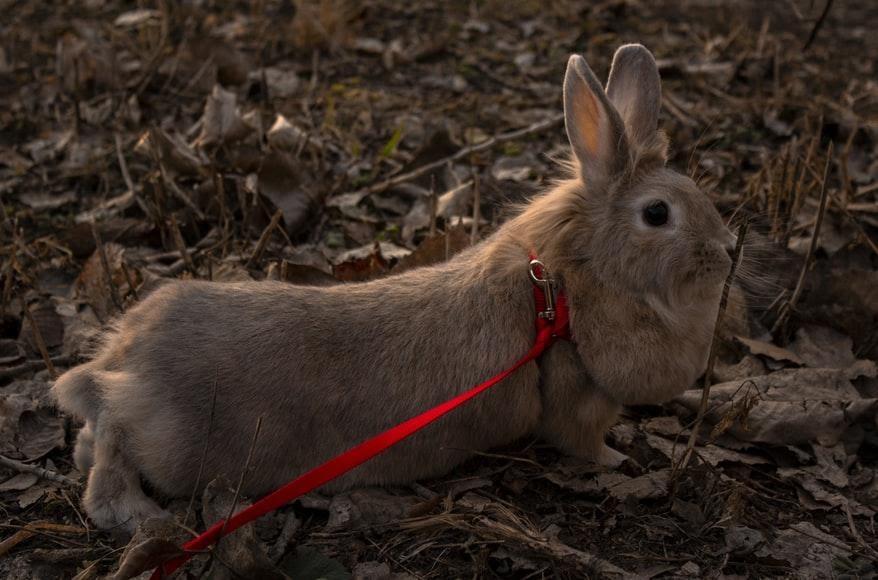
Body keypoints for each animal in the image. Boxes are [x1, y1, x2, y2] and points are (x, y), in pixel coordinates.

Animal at [52, 44, 737, 533]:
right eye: (657, 214)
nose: (730, 250)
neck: (564, 284)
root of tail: (125, 357)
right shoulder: (576, 402)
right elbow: (585, 444)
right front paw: (620, 463)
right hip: (174, 441)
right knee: (114, 430)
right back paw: (131, 512)